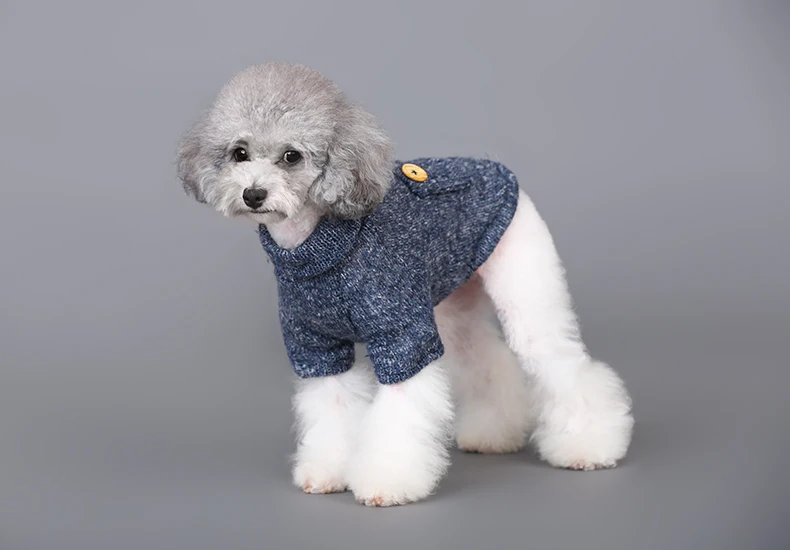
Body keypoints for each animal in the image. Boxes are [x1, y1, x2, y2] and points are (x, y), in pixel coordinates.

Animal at [176, 62, 634, 507]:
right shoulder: (317, 347)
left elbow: (399, 415)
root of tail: (495, 166)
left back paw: (590, 445)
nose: (253, 194)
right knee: (486, 358)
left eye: (292, 156)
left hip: (525, 287)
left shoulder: (401, 336)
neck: (321, 250)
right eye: (239, 153)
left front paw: (386, 482)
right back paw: (494, 433)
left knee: (560, 363)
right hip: (452, 303)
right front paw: (327, 471)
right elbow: (332, 407)